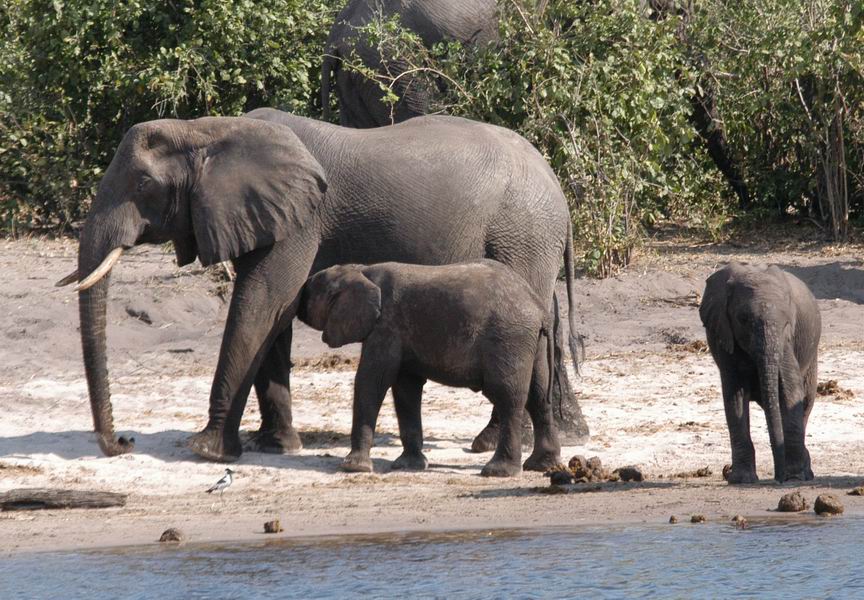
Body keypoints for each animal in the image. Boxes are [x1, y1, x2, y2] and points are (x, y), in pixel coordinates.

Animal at [298, 260, 568, 476]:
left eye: (311, 291)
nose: (298, 300)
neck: (361, 270)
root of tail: (538, 307)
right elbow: (406, 389)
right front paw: (408, 465)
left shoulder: (386, 326)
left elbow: (372, 381)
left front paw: (354, 467)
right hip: (533, 343)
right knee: (538, 397)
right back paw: (542, 466)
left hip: (509, 338)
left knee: (507, 397)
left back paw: (498, 472)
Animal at [700, 262, 820, 482]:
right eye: (743, 319)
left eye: (787, 322)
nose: (779, 478)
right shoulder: (725, 336)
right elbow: (735, 397)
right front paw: (741, 479)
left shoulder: (786, 342)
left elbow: (791, 391)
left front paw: (795, 476)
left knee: (805, 402)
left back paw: (806, 472)